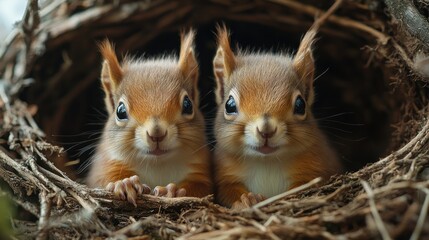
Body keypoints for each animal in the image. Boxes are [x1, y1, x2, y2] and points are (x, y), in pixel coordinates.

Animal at [86, 30, 212, 206]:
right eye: (120, 111)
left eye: (188, 105)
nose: (156, 133)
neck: (157, 164)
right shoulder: (106, 164)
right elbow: (101, 180)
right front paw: (124, 183)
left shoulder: (200, 170)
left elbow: (202, 189)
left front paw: (172, 191)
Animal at [212, 26, 342, 209]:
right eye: (229, 105)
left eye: (300, 105)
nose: (266, 129)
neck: (267, 162)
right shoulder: (225, 175)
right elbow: (228, 191)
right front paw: (247, 199)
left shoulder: (319, 167)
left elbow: (307, 184)